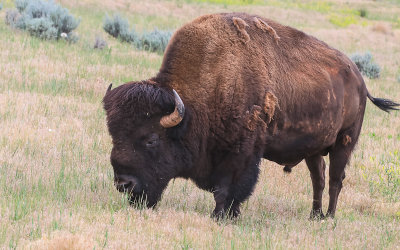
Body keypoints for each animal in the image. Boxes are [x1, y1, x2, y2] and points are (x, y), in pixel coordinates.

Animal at [102, 12, 396, 219]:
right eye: (114, 135)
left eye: (151, 139)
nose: (123, 184)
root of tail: (359, 79)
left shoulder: (242, 153)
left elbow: (228, 189)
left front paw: (221, 216)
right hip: (314, 150)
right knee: (319, 179)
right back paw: (314, 215)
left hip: (344, 142)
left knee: (335, 179)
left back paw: (329, 217)